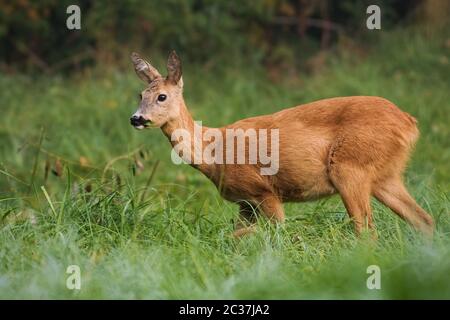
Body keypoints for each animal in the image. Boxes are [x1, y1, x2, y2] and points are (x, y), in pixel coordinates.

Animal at [128, 50, 434, 238]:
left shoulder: (265, 191)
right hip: (385, 175)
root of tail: (409, 123)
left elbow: (273, 231)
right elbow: (235, 235)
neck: (213, 153)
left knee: (367, 230)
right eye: (141, 94)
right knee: (424, 220)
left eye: (162, 96)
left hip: (350, 166)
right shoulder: (245, 203)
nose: (136, 118)